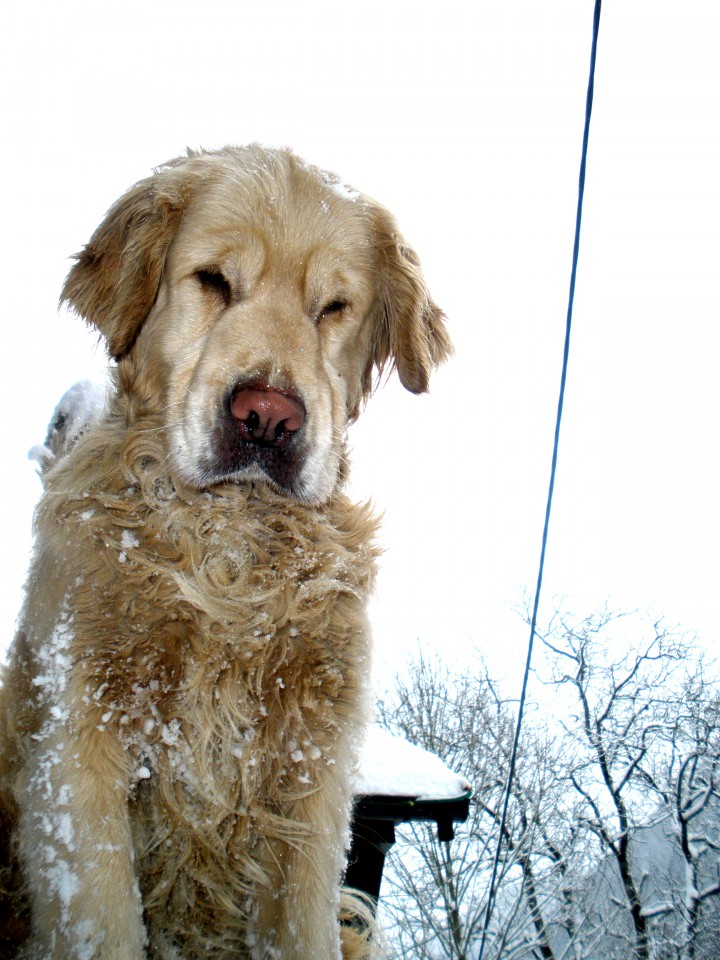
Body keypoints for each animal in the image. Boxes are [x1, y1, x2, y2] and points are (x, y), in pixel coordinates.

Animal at [0, 144, 450, 960]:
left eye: (332, 307)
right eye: (213, 279)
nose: (266, 417)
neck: (229, 553)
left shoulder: (310, 777)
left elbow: (300, 927)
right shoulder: (78, 748)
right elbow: (105, 919)